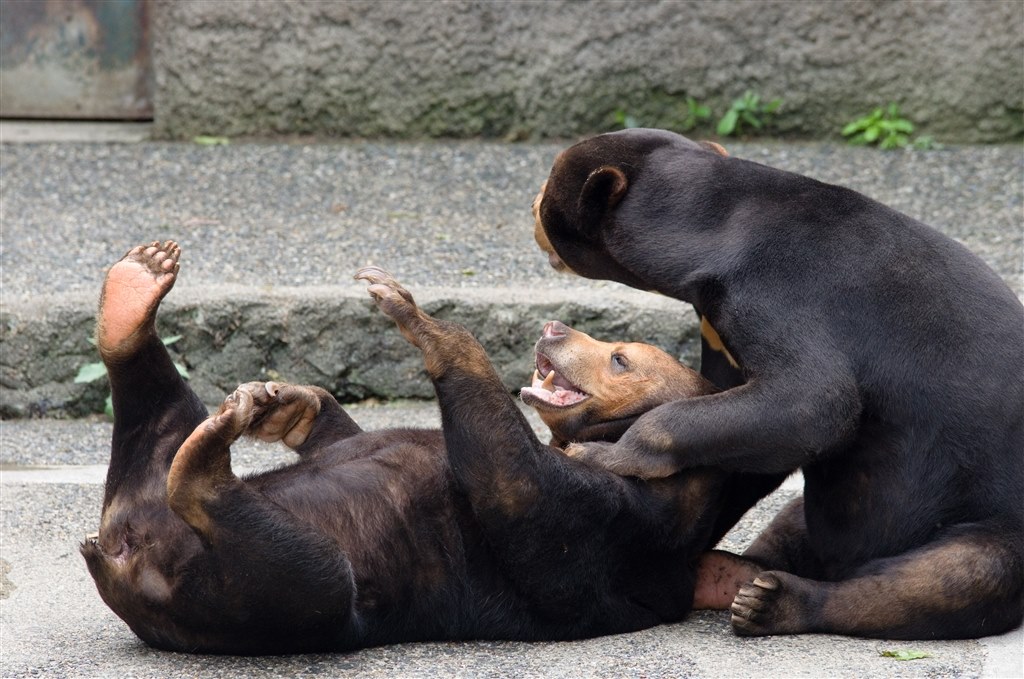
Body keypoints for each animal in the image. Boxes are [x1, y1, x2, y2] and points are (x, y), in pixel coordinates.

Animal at [79, 241, 753, 655]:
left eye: (619, 359)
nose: (554, 327)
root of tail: (124, 552)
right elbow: (351, 438)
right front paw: (288, 403)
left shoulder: (628, 526)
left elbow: (522, 499)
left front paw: (417, 315)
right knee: (163, 416)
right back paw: (135, 297)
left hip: (246, 597)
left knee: (309, 571)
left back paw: (208, 459)